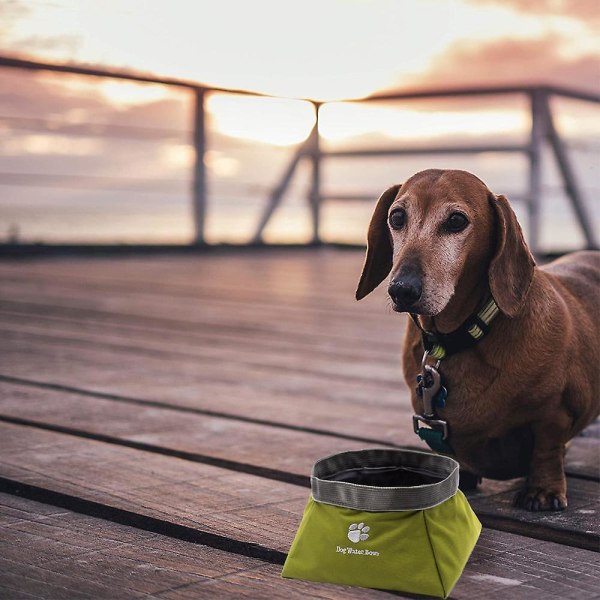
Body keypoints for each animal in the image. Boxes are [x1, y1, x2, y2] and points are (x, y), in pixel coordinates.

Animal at [358, 168, 596, 510]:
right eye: (397, 217)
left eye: (456, 221)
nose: (402, 290)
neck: (458, 337)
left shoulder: (556, 412)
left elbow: (547, 448)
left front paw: (544, 490)